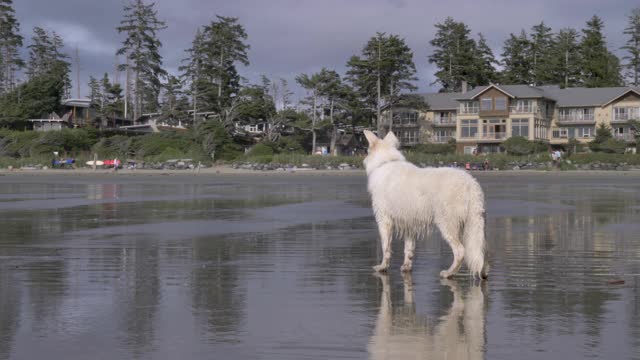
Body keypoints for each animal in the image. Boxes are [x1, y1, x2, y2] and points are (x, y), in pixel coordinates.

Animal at [362, 130, 488, 278]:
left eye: (367, 151)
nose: (364, 159)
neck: (386, 162)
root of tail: (470, 184)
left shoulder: (384, 221)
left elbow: (385, 248)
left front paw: (382, 267)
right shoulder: (409, 224)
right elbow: (408, 249)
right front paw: (406, 267)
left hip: (447, 225)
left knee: (460, 251)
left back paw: (448, 273)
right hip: (474, 226)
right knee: (481, 252)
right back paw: (484, 272)